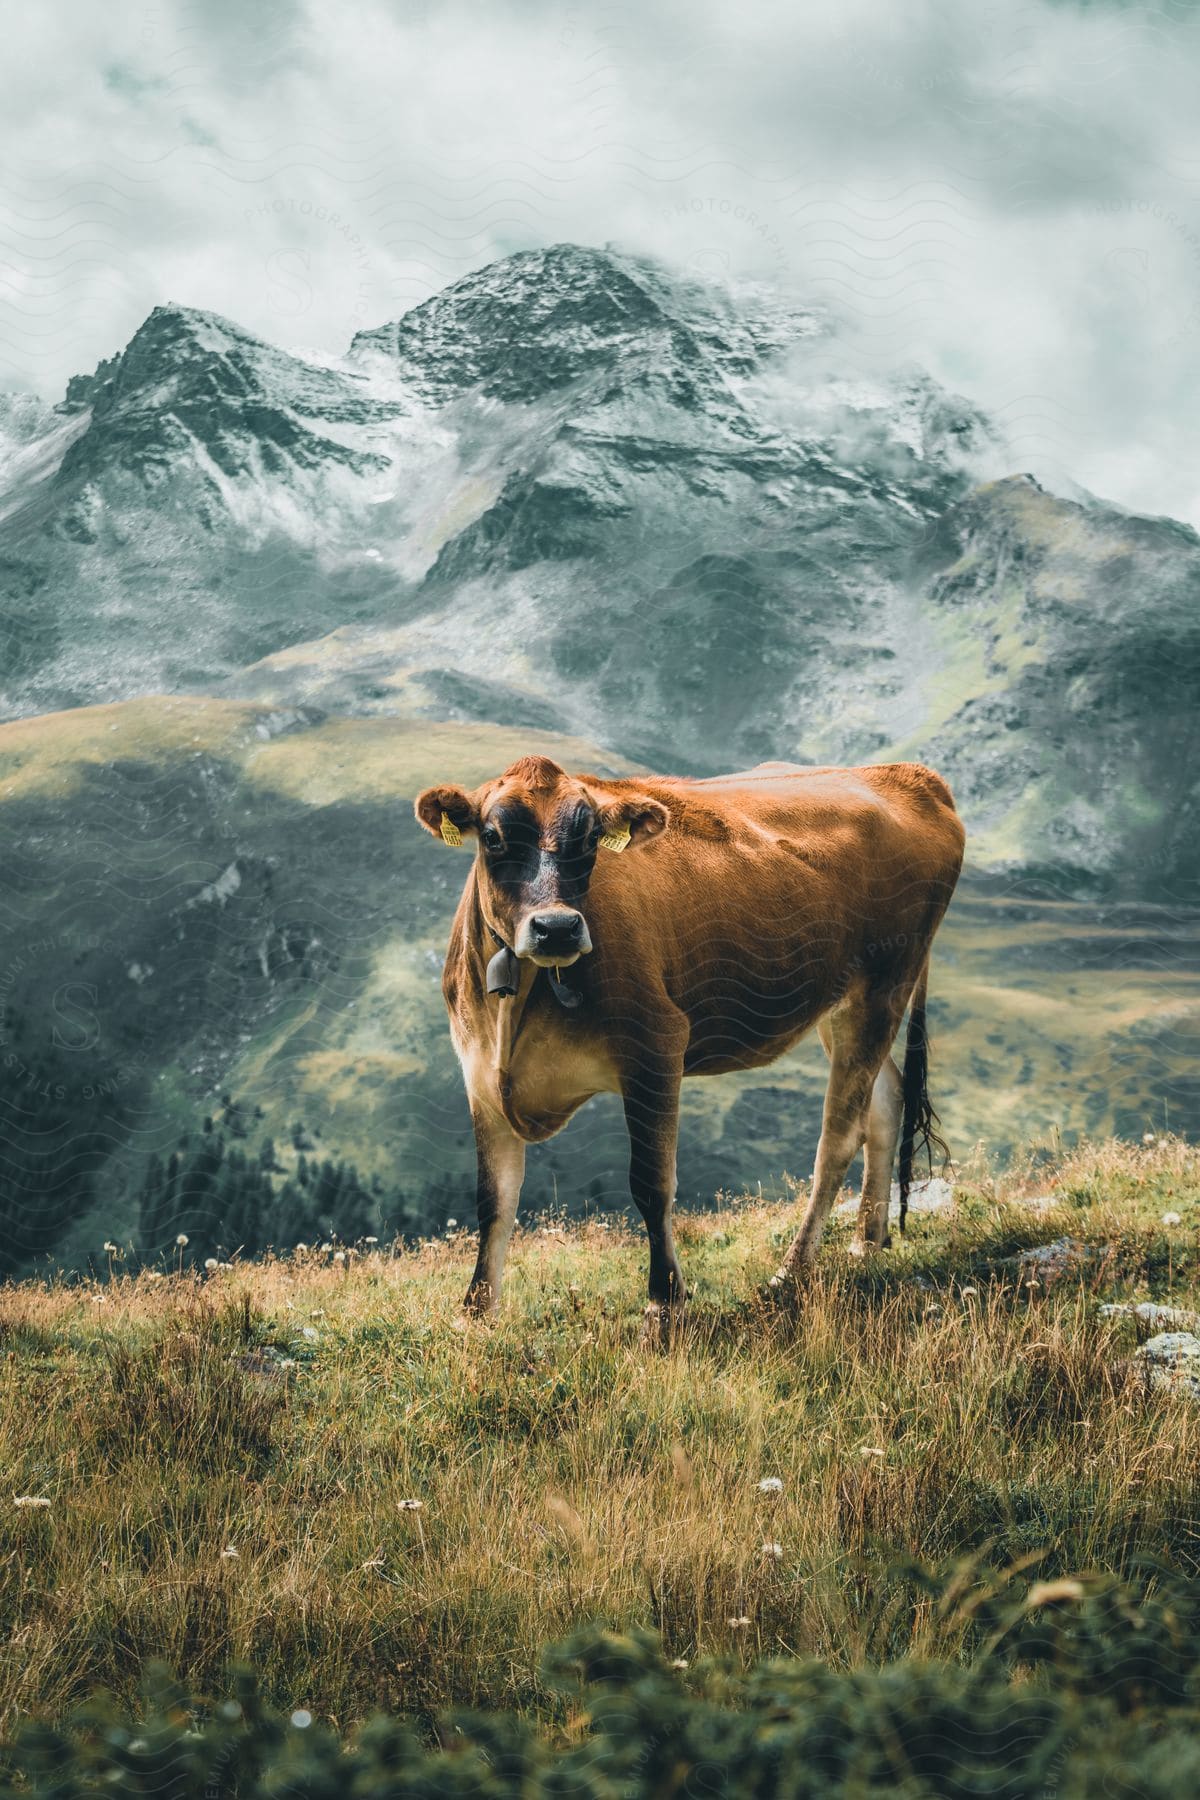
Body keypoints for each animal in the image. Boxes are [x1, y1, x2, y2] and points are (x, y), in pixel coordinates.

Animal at [415, 752, 964, 1332]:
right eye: (493, 837)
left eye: (590, 838)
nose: (558, 928)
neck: (516, 1004)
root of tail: (906, 773)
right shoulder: (478, 1070)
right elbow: (493, 1197)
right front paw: (475, 1311)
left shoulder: (656, 1047)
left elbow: (651, 1185)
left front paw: (665, 1302)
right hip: (842, 1004)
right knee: (884, 1101)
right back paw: (867, 1243)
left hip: (885, 985)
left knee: (838, 1136)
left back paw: (790, 1274)